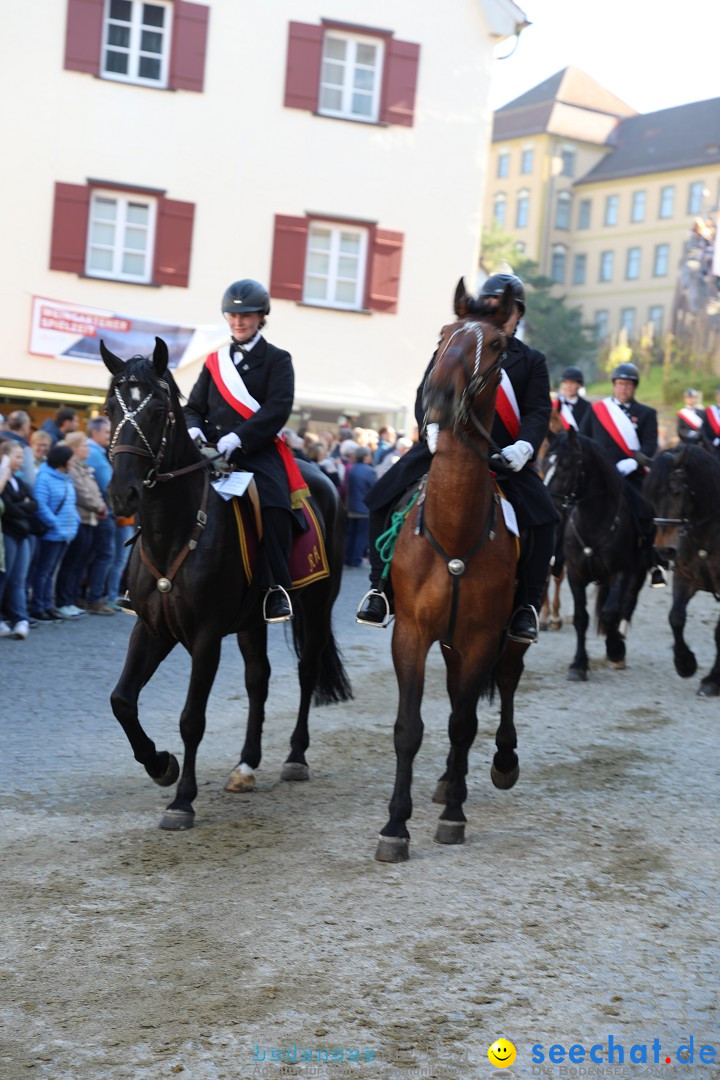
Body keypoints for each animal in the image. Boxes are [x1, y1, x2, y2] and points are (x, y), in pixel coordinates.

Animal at [99, 341, 351, 829]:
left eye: (158, 410)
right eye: (108, 408)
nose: (123, 494)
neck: (173, 533)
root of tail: (323, 476)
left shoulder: (205, 636)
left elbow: (192, 718)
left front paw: (182, 800)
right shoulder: (152, 629)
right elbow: (122, 700)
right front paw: (161, 765)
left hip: (317, 605)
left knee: (306, 670)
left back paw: (295, 757)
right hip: (252, 620)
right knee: (259, 679)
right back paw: (246, 765)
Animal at [375, 282, 533, 864]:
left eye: (497, 345)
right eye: (443, 335)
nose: (439, 394)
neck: (457, 528)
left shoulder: (484, 634)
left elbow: (464, 723)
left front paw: (453, 818)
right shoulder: (412, 632)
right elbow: (410, 728)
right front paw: (395, 826)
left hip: (503, 634)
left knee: (505, 682)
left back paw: (498, 765)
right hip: (447, 640)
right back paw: (447, 782)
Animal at [546, 425, 651, 678]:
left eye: (566, 465)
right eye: (545, 462)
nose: (550, 505)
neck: (594, 523)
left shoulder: (621, 571)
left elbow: (610, 612)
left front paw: (615, 648)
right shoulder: (575, 573)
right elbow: (581, 618)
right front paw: (578, 664)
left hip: (637, 574)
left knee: (626, 605)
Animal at [643, 442, 720, 695]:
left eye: (676, 492)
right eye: (650, 495)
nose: (665, 550)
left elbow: (718, 631)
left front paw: (712, 680)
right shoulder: (684, 578)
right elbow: (675, 618)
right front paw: (684, 663)